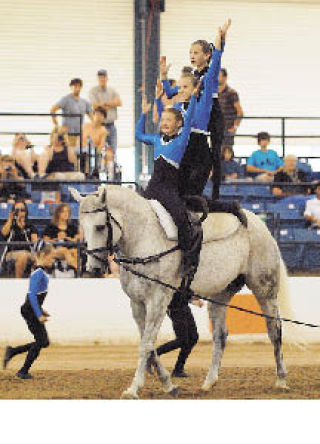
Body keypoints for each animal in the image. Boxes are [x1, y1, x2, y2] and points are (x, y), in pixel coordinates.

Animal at [72, 184, 296, 398]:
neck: (145, 239)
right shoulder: (137, 303)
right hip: (221, 293)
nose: (93, 269)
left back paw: (281, 380)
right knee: (220, 335)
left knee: (274, 330)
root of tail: (261, 226)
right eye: (82, 226)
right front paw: (168, 385)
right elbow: (149, 344)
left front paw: (133, 389)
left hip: (264, 289)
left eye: (100, 226)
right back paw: (208, 383)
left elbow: (146, 344)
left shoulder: (158, 300)